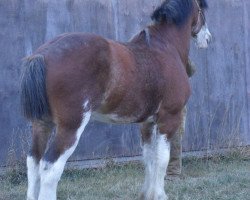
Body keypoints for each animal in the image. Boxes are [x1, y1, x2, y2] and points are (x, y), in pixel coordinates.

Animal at [21, 0, 211, 200]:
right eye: (202, 10)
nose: (207, 38)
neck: (166, 48)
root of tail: (43, 54)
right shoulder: (169, 119)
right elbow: (161, 159)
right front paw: (159, 195)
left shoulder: (147, 123)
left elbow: (149, 158)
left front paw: (147, 194)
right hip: (70, 127)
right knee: (50, 168)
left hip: (42, 124)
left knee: (33, 162)